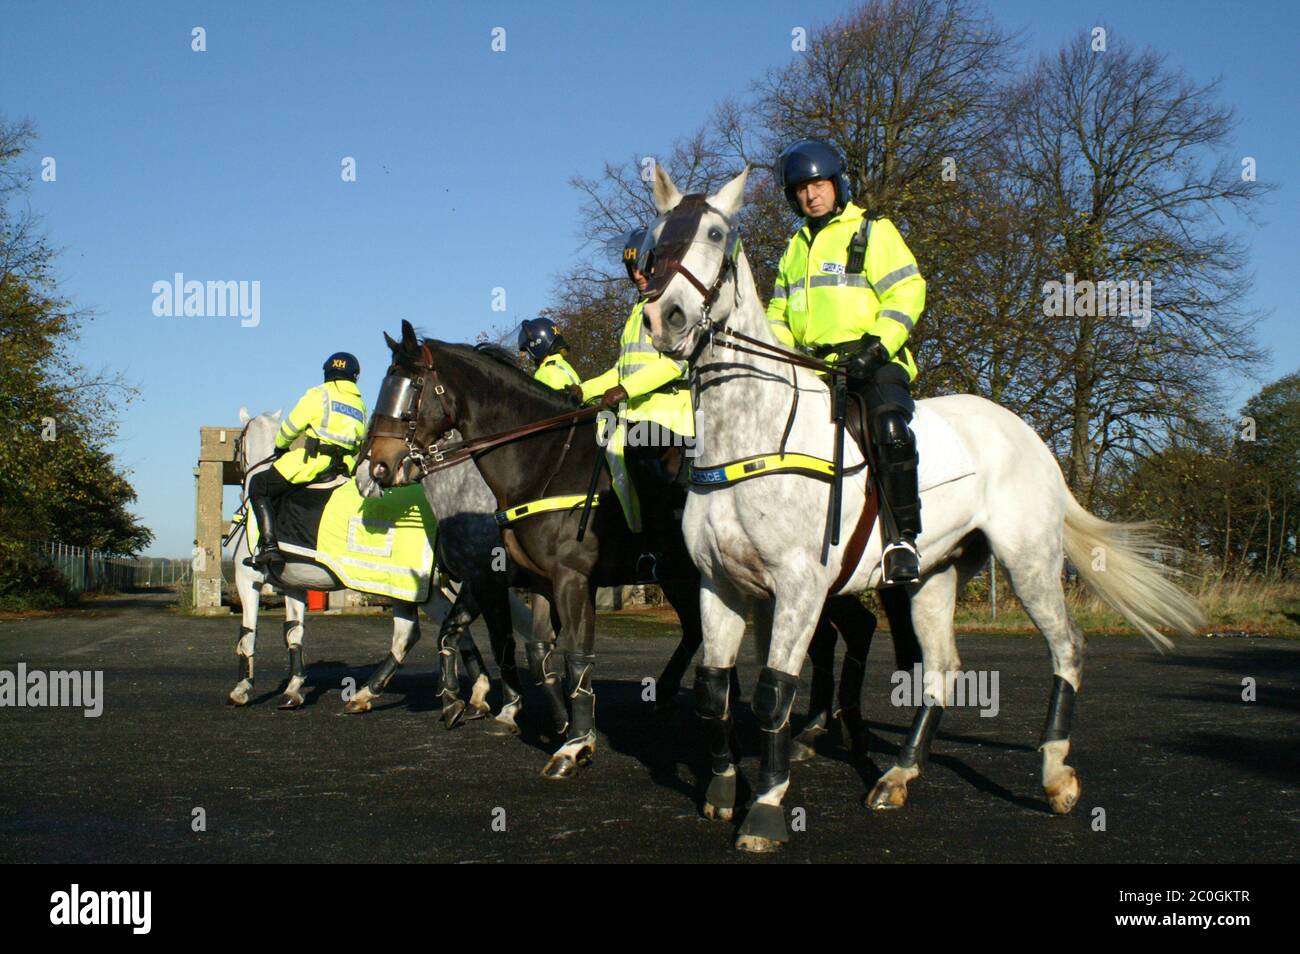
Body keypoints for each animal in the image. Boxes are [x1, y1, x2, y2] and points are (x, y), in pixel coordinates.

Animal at [641, 165, 1206, 851]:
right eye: (655, 237)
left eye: (716, 234)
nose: (663, 316)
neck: (755, 434)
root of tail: (1026, 434)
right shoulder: (720, 584)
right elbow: (713, 689)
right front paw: (724, 790)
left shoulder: (801, 588)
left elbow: (775, 694)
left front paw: (767, 810)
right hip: (931, 577)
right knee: (940, 668)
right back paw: (898, 775)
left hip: (1029, 562)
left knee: (1067, 647)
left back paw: (1054, 775)